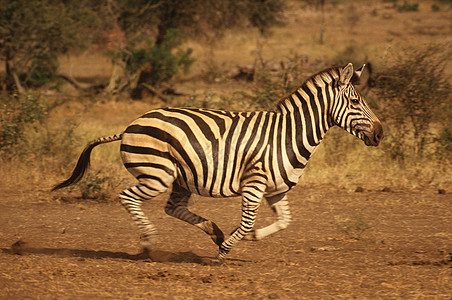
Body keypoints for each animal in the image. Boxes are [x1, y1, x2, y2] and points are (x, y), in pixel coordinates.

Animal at [53, 62, 384, 260]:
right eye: (356, 101)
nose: (380, 133)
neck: (288, 135)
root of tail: (129, 126)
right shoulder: (255, 183)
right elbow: (249, 219)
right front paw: (227, 249)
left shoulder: (276, 189)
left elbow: (284, 221)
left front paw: (253, 237)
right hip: (157, 173)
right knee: (128, 197)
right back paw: (148, 243)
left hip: (180, 177)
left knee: (173, 207)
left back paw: (213, 230)